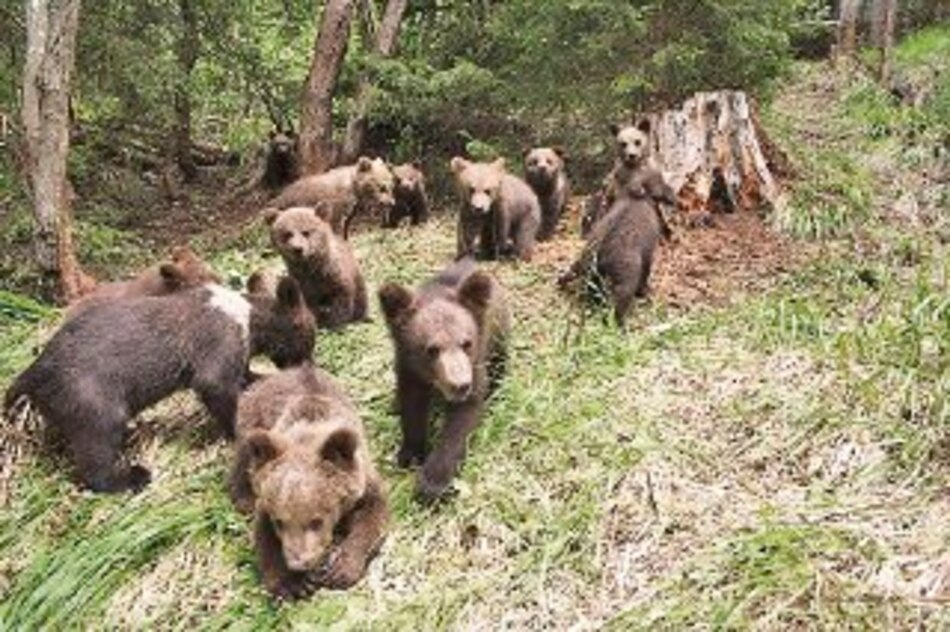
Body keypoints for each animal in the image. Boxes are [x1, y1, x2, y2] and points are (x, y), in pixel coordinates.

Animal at [3, 278, 316, 493]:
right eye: (309, 336)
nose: (311, 369)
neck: (247, 319)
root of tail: (33, 372)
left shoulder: (236, 365)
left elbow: (251, 378)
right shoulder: (214, 369)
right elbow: (229, 405)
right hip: (99, 414)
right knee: (95, 469)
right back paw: (134, 477)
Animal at [229, 364, 389, 600]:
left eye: (316, 521)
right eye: (280, 522)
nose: (298, 563)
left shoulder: (364, 484)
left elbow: (372, 517)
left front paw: (341, 569)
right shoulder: (268, 498)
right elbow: (264, 534)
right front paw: (291, 583)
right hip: (252, 418)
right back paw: (243, 498)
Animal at [378, 257, 510, 500]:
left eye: (467, 343)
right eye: (432, 349)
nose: (460, 385)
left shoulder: (475, 366)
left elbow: (460, 423)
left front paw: (432, 483)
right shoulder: (409, 370)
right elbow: (412, 407)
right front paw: (410, 453)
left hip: (499, 334)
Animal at [558, 178, 666, 326]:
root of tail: (599, 252)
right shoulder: (647, 255)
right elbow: (645, 276)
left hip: (590, 271)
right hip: (624, 283)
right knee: (618, 307)